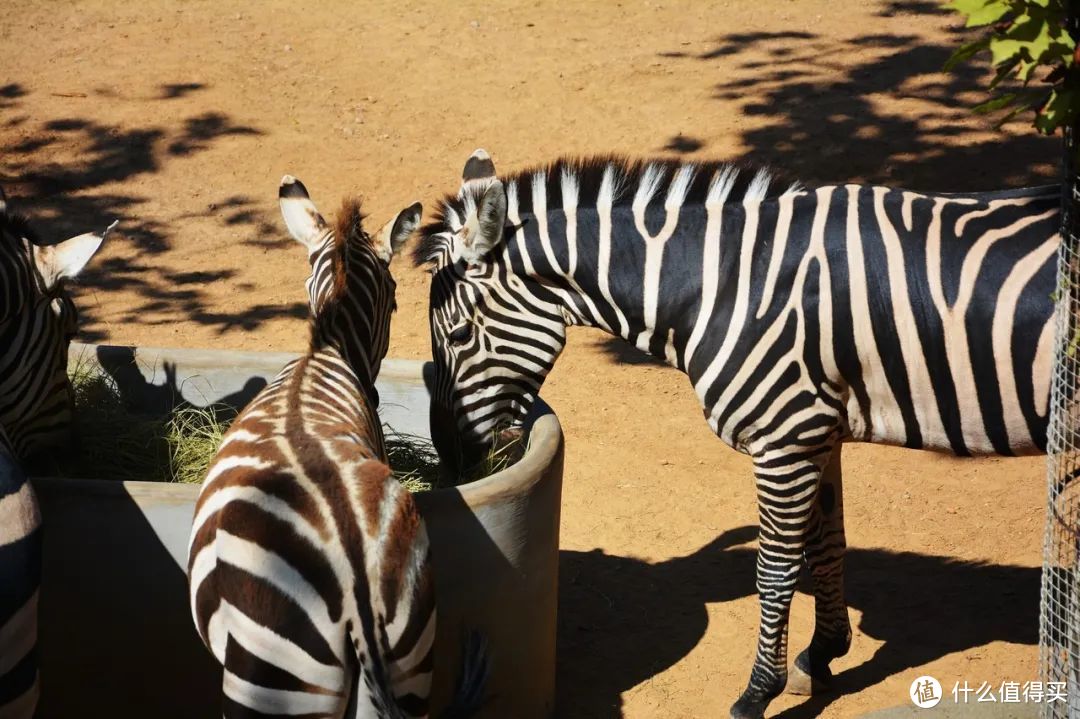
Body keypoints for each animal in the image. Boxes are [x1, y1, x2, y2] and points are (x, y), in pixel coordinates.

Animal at [412, 150, 1054, 716]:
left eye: (461, 336)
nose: (450, 458)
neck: (725, 286)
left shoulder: (784, 439)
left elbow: (775, 568)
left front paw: (757, 694)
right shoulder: (817, 432)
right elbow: (825, 544)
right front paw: (822, 654)